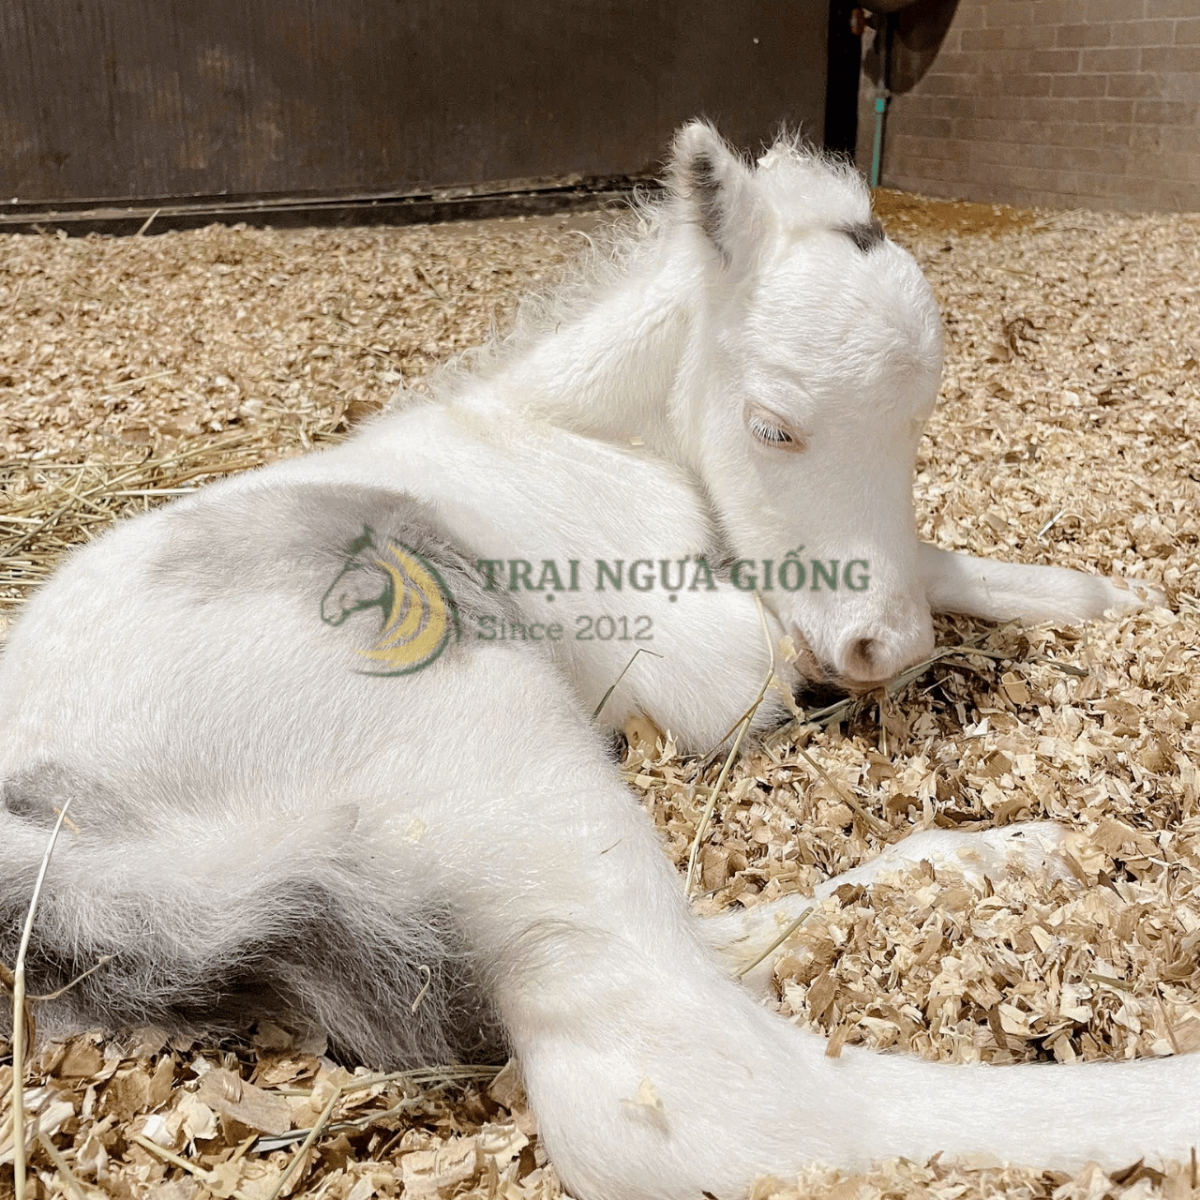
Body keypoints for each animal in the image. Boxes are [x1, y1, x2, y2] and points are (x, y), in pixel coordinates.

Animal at [0, 122, 1179, 1200]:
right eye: (773, 427)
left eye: (919, 424)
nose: (883, 648)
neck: (578, 435)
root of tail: (48, 834)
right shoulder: (695, 655)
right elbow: (768, 650)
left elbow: (931, 559)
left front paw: (1109, 597)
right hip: (479, 731)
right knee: (708, 1088)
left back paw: (1009, 853)